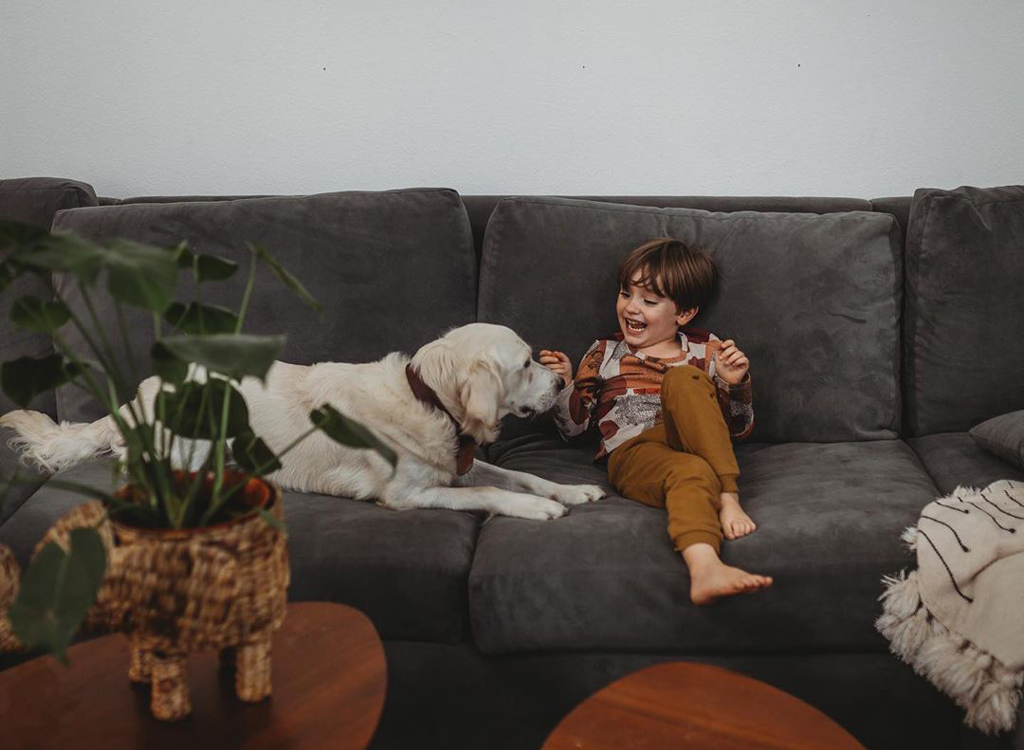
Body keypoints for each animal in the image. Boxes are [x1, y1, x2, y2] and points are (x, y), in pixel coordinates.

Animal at [0, 321, 602, 520]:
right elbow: (490, 493)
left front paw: (571, 491)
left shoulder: (459, 463)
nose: (560, 384)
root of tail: (140, 395)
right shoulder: (408, 493)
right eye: (525, 365)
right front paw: (539, 509)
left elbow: (518, 474)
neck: (429, 400)